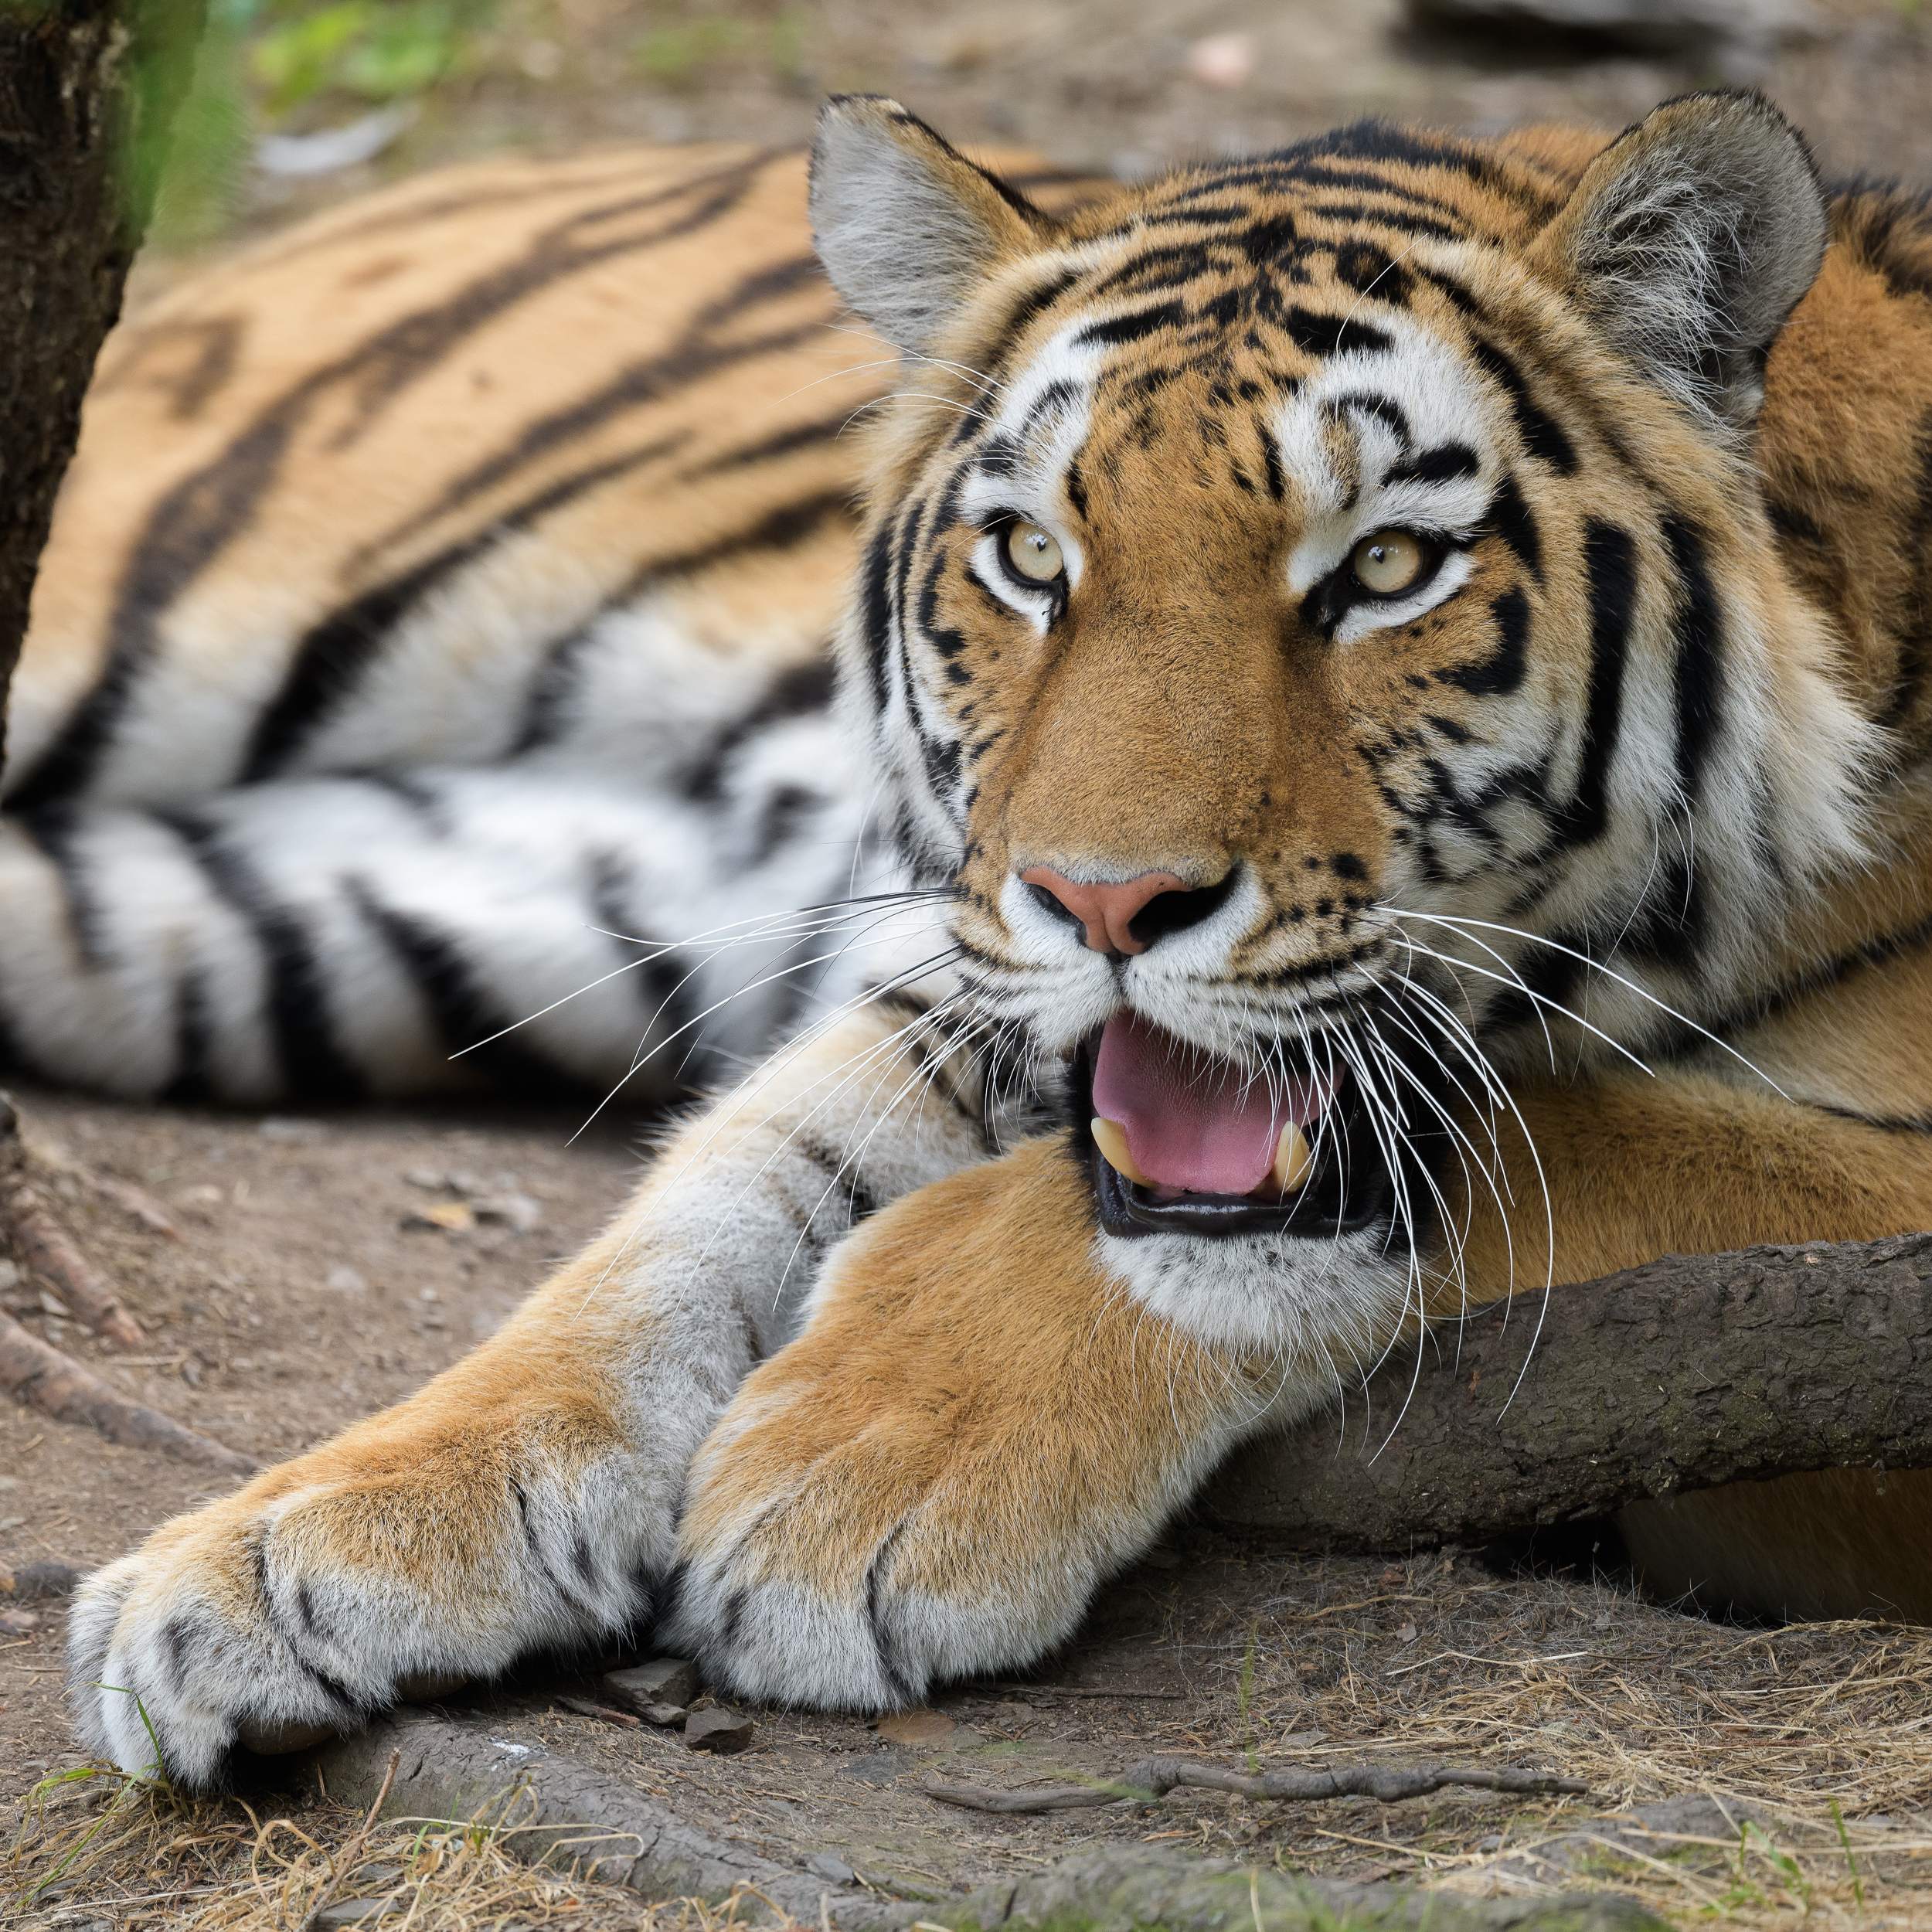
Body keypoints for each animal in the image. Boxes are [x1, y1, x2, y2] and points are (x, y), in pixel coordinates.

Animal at [45, 87, 1932, 1777]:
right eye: (1030, 552)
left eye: (1388, 567)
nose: (1103, 901)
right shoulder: (957, 983)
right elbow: (689, 1210)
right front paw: (297, 1541)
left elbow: (1618, 1136)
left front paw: (859, 1478)